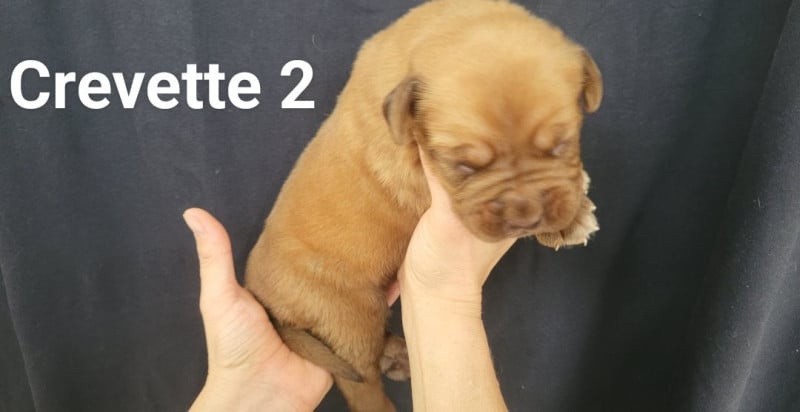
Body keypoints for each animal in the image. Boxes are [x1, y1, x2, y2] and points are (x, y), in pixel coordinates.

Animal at [245, 1, 602, 410]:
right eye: (464, 166)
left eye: (561, 144)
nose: (526, 217)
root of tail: (263, 297)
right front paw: (567, 223)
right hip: (346, 313)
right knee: (358, 380)